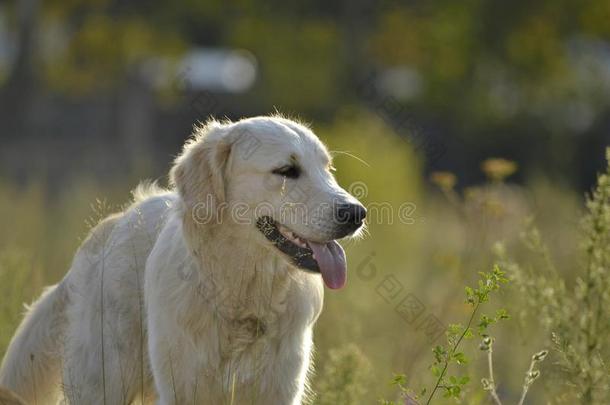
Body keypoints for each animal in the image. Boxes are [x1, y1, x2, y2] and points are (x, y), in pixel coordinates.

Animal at [0, 115, 364, 402]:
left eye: (327, 169)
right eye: (287, 170)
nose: (356, 213)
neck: (240, 297)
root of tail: (116, 221)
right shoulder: (182, 388)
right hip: (104, 380)